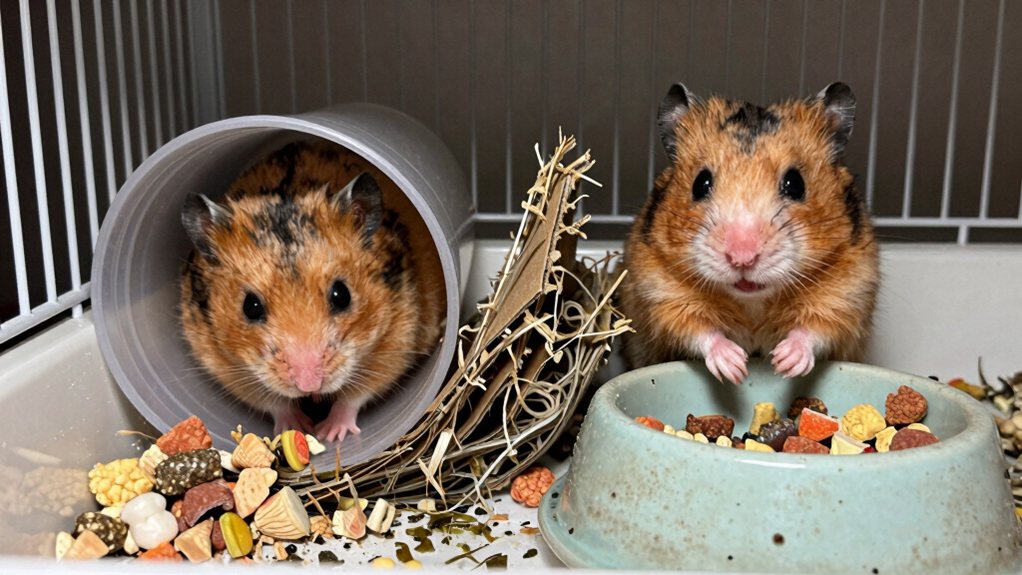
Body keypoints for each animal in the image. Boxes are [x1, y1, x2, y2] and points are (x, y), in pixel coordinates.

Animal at [179, 141, 445, 442]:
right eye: (250, 306)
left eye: (342, 295)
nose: (309, 385)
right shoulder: (223, 364)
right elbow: (274, 402)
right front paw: (299, 426)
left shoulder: (397, 339)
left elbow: (354, 396)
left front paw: (329, 434)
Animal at [620, 82, 879, 384]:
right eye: (700, 183)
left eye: (795, 183)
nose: (742, 259)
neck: (752, 301)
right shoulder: (661, 295)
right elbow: (699, 330)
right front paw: (735, 366)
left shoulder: (848, 295)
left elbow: (814, 330)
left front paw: (784, 361)